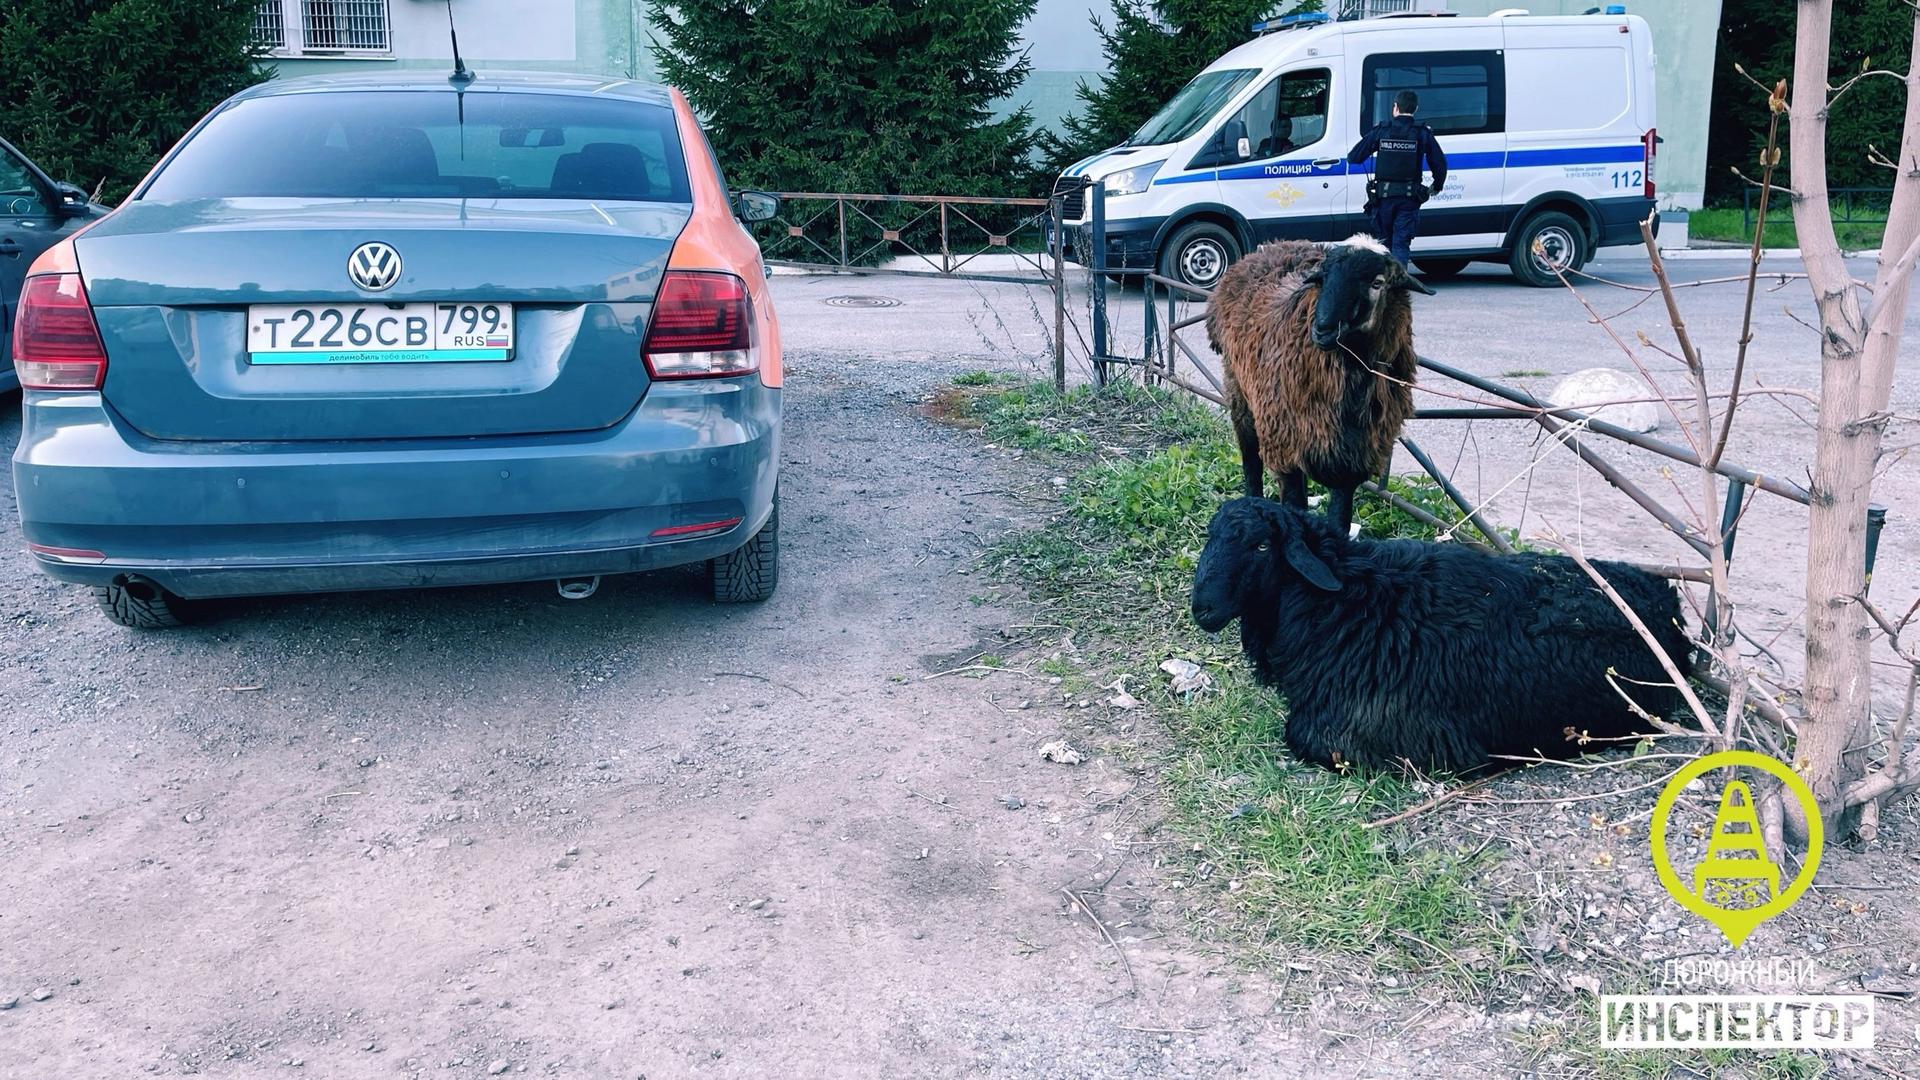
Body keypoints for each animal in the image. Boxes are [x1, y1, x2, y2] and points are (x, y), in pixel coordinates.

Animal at [1190, 495, 1689, 772]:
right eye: (1210, 537)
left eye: (1261, 546)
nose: (1202, 609)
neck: (1350, 602)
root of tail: (1669, 607)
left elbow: (1298, 733)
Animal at [1205, 235, 1436, 530]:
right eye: (1323, 279)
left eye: (1378, 283)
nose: (1322, 329)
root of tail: (1271, 245)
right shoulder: (1285, 446)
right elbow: (1294, 506)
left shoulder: (1352, 458)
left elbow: (1339, 520)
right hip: (1241, 393)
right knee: (1250, 459)